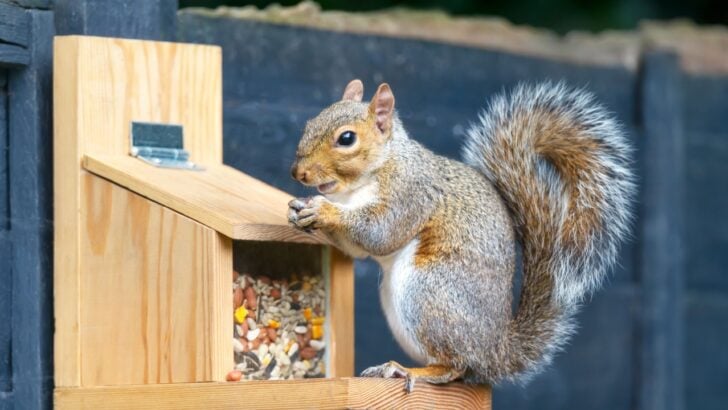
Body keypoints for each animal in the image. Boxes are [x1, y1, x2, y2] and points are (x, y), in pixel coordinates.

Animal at [288, 79, 634, 392]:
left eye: (346, 138)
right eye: (309, 123)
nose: (298, 173)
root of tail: (494, 352)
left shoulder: (410, 193)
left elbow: (381, 232)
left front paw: (324, 211)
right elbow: (359, 248)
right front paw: (300, 210)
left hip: (428, 292)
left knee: (454, 367)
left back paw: (406, 371)